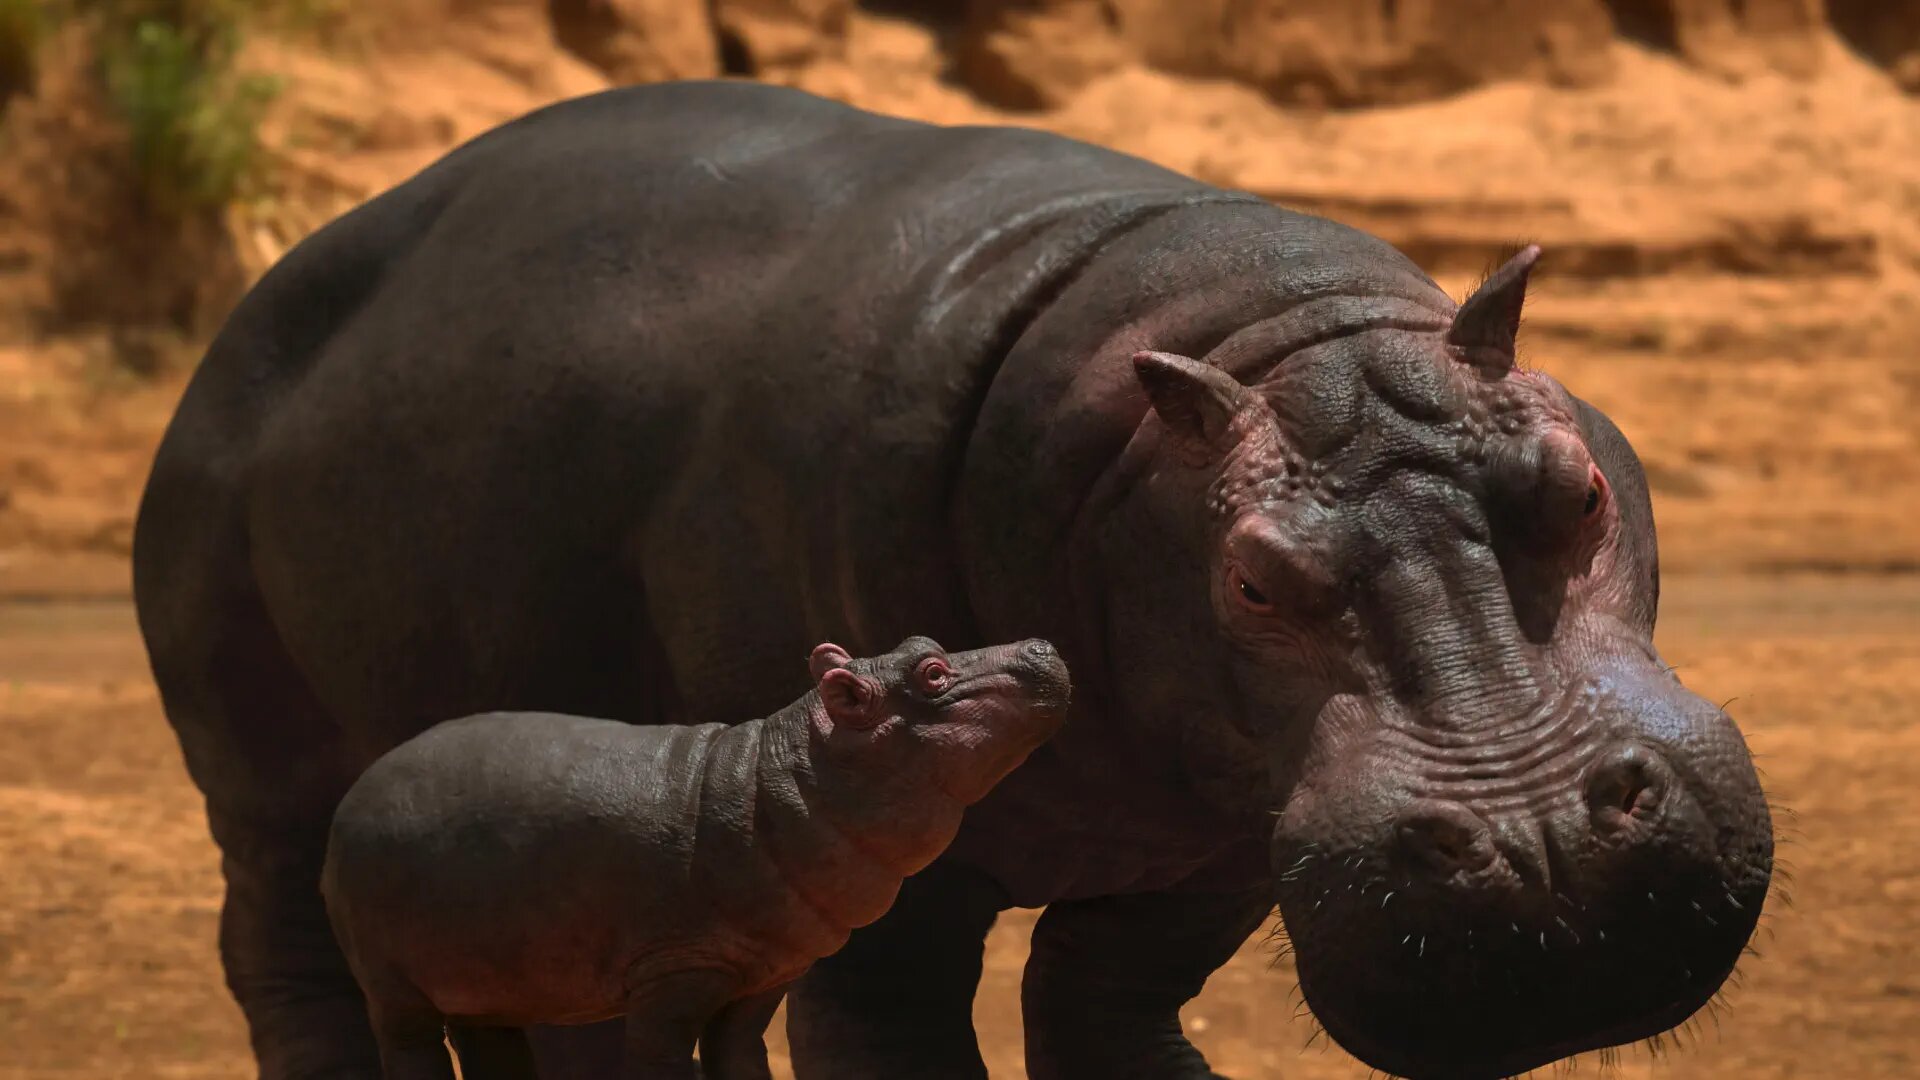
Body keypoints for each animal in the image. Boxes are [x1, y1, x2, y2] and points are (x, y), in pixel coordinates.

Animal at [321, 637, 1069, 1080]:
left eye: (924, 644)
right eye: (932, 673)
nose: (1042, 643)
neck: (783, 777)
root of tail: (348, 801)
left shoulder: (763, 977)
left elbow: (741, 1057)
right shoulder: (674, 976)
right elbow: (658, 1058)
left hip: (487, 982)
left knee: (493, 1050)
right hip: (392, 985)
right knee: (409, 1050)